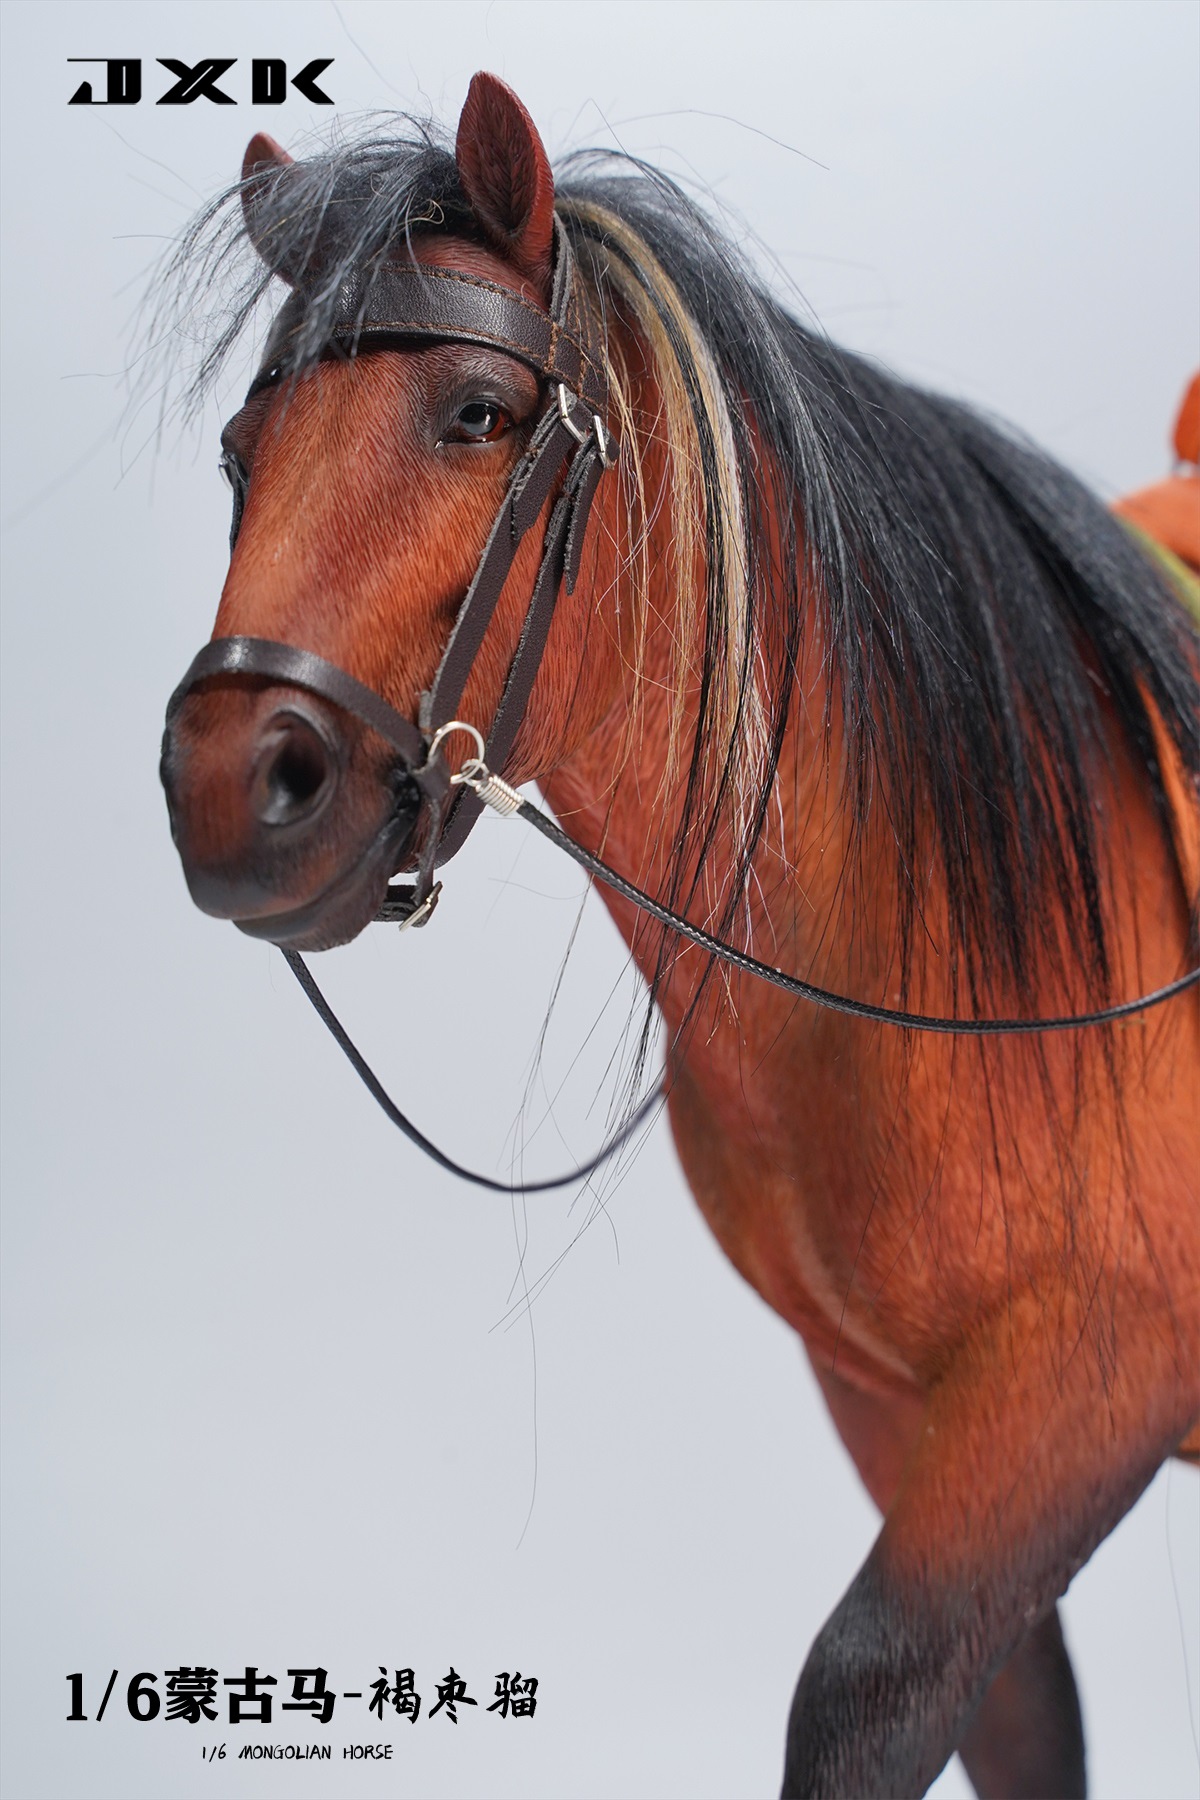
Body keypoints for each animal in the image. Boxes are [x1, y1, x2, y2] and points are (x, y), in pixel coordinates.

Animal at [158, 74, 1200, 1799]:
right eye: (246, 447)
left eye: (478, 414)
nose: (231, 788)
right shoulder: (898, 1407)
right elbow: (1011, 1718)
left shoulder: (1085, 1379)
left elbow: (868, 1690)